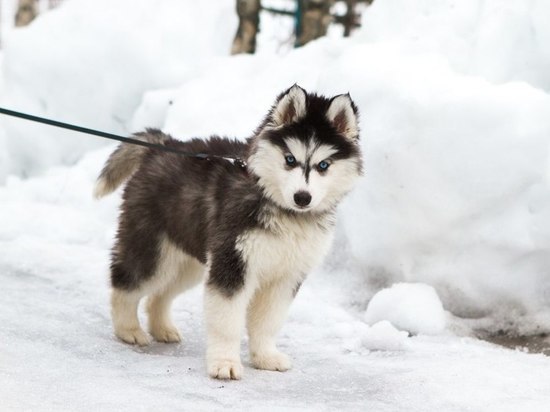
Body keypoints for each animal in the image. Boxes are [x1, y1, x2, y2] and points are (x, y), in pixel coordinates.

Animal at [94, 84, 362, 380]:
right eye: (290, 159)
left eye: (323, 165)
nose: (302, 197)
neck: (282, 209)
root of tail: (164, 145)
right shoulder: (234, 264)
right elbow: (227, 322)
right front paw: (224, 362)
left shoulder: (285, 276)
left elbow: (268, 321)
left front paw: (265, 357)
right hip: (154, 251)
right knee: (126, 283)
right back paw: (128, 330)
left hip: (189, 260)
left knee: (159, 294)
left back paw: (162, 328)